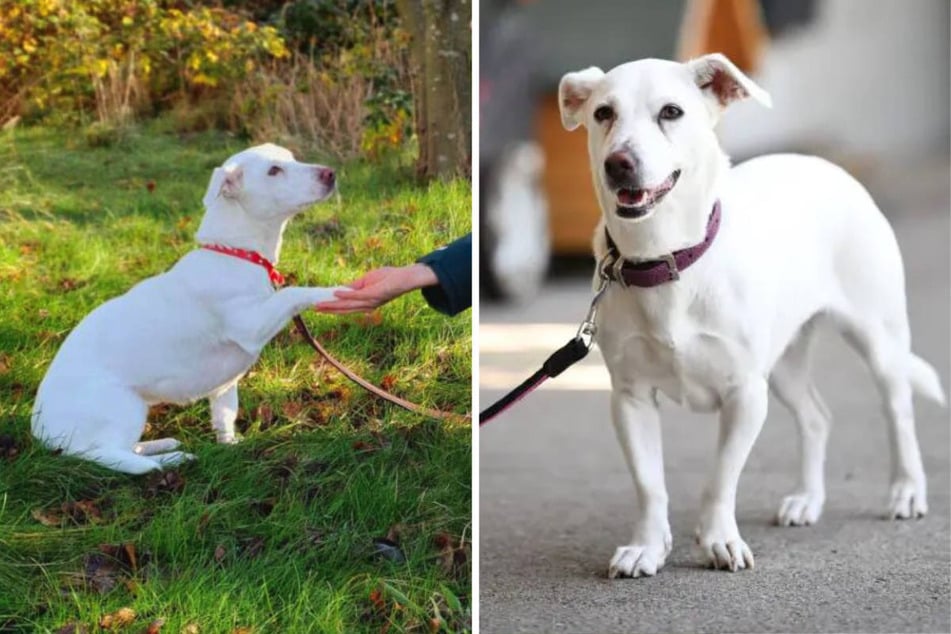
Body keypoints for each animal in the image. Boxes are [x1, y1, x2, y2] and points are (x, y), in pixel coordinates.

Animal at [31, 141, 348, 472]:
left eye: (292, 157)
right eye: (274, 170)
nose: (330, 173)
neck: (235, 253)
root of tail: (44, 434)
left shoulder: (224, 388)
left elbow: (225, 418)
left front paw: (230, 446)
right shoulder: (251, 324)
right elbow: (292, 293)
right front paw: (334, 292)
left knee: (126, 449)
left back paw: (159, 445)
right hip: (124, 408)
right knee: (111, 455)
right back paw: (169, 459)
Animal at [556, 54, 944, 576]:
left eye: (671, 112)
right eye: (603, 114)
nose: (619, 163)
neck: (666, 258)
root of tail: (822, 163)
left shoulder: (745, 394)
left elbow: (720, 478)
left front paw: (718, 539)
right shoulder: (630, 399)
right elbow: (650, 485)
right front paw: (648, 546)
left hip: (877, 340)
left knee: (898, 411)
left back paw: (906, 491)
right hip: (783, 365)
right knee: (817, 417)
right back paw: (807, 499)